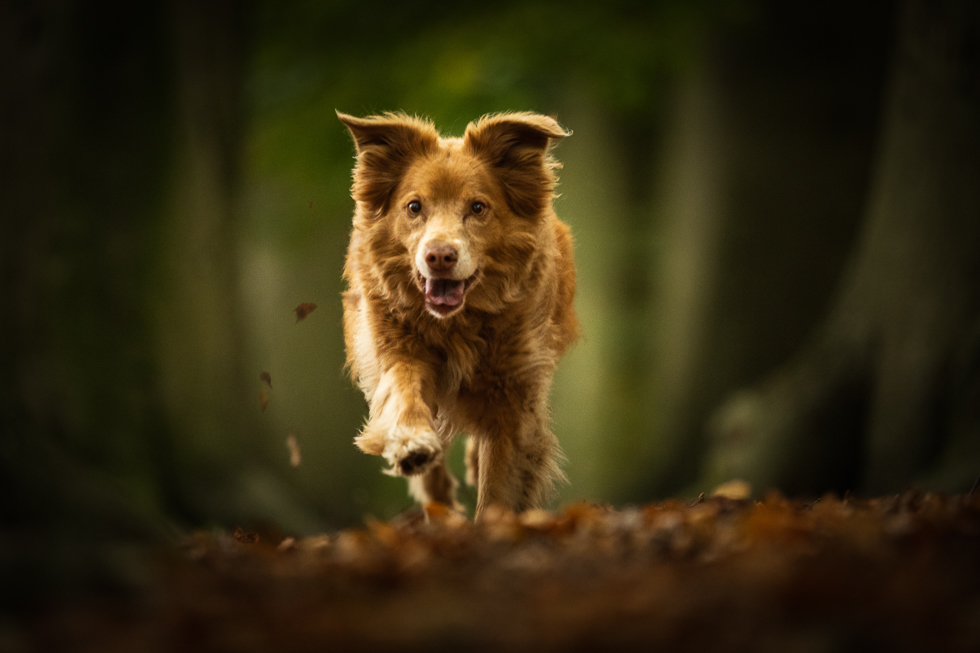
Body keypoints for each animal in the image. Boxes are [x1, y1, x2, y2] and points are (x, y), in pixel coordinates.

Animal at [338, 112, 580, 520]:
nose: (439, 255)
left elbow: (499, 483)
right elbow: (404, 393)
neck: (457, 326)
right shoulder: (399, 351)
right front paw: (411, 441)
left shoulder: (516, 392)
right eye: (414, 207)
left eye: (478, 208)